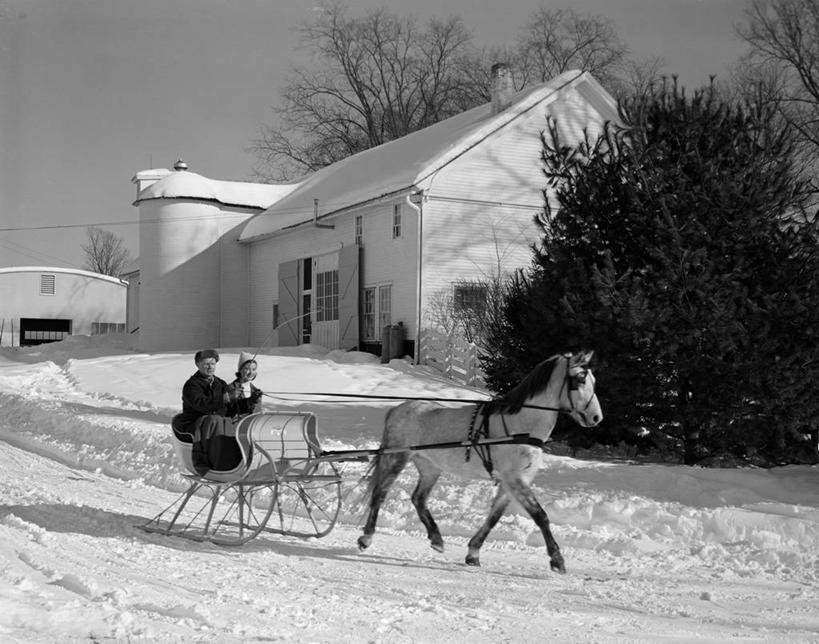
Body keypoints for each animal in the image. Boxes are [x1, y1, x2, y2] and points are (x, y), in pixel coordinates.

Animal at [358, 352, 604, 572]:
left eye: (593, 380)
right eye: (580, 379)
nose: (596, 417)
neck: (520, 425)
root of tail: (398, 408)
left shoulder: (512, 481)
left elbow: (494, 516)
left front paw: (473, 552)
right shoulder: (514, 479)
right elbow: (540, 516)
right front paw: (557, 560)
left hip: (429, 466)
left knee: (418, 498)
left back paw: (437, 538)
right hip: (396, 458)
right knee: (380, 493)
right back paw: (366, 537)